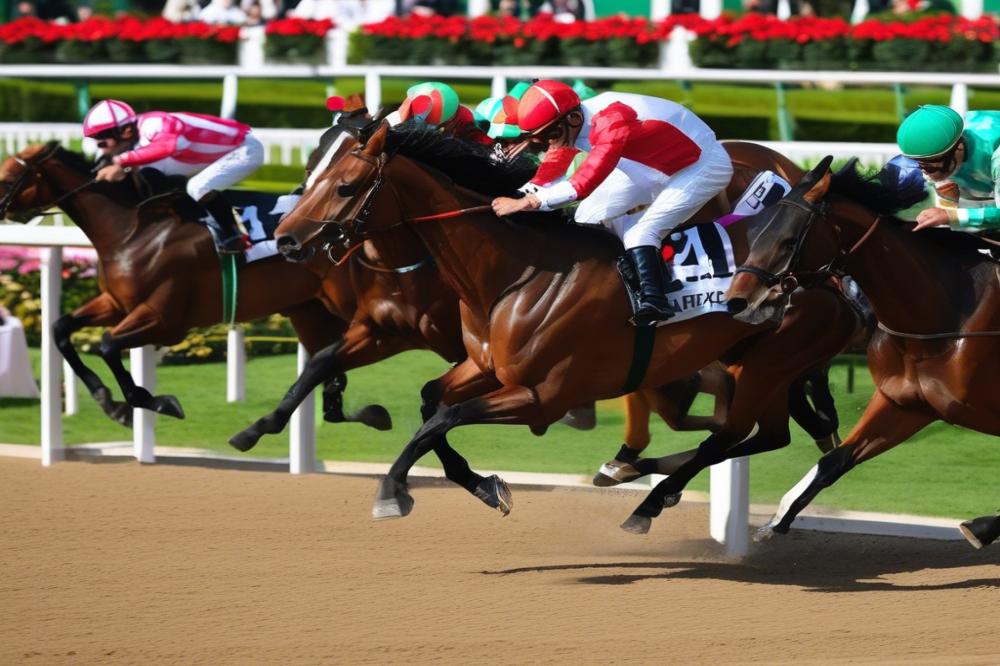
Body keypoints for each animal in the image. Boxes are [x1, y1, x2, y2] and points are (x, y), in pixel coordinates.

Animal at [274, 121, 861, 532]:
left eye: (346, 186)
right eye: (317, 169)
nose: (284, 239)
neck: (517, 274)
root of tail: (828, 271)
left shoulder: (542, 396)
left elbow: (442, 418)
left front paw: (393, 491)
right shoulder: (483, 365)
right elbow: (430, 402)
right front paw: (485, 487)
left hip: (766, 367)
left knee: (736, 433)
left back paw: (648, 494)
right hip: (763, 366)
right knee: (767, 433)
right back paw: (644, 479)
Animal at [726, 156, 1000, 549]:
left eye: (789, 240)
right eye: (757, 233)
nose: (738, 299)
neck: (947, 316)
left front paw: (982, 526)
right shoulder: (906, 404)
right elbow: (836, 459)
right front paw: (778, 519)